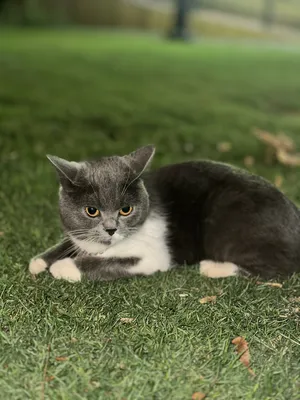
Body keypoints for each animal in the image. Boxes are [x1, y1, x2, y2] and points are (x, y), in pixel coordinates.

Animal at [29, 145, 300, 282]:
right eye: (91, 211)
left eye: (125, 210)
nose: (111, 229)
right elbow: (67, 243)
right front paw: (39, 261)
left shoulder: (153, 255)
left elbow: (112, 262)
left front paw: (64, 268)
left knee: (277, 268)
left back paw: (212, 267)